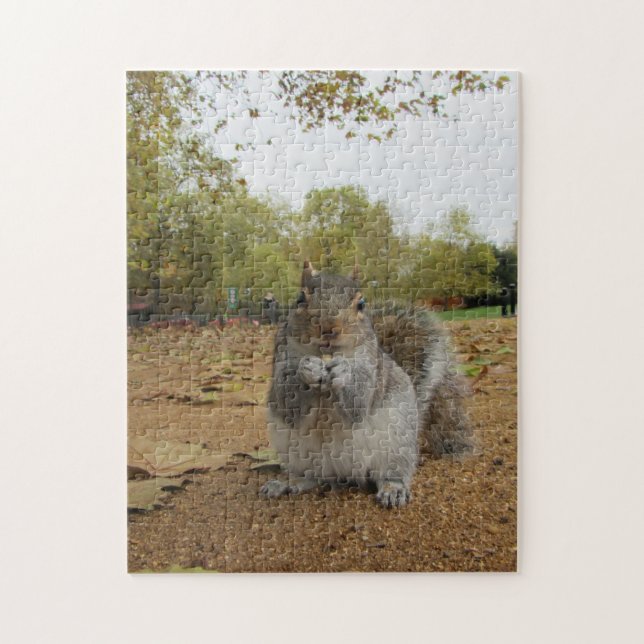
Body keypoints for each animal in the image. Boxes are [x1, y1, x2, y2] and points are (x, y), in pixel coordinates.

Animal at [260, 261, 474, 508]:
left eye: (361, 304)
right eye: (300, 299)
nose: (329, 328)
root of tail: (343, 472)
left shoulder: (371, 368)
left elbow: (359, 403)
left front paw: (343, 371)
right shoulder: (282, 358)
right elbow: (287, 403)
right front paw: (307, 368)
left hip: (396, 445)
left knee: (392, 472)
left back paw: (393, 488)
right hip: (296, 453)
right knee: (312, 477)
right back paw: (286, 483)